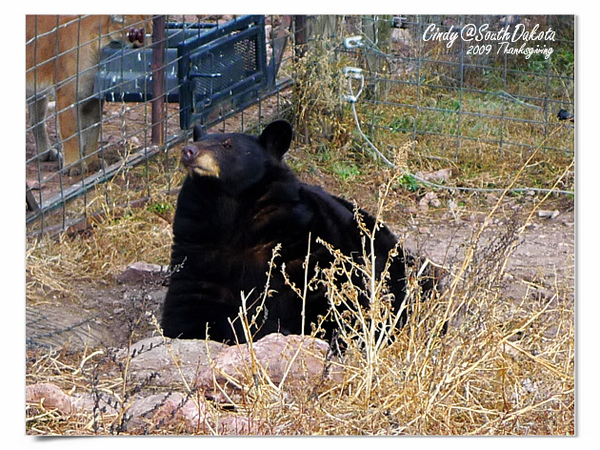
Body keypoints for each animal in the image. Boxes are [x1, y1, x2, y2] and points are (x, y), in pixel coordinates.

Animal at [162, 119, 436, 344]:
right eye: (199, 139)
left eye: (227, 145)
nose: (189, 151)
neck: (232, 211)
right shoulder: (199, 249)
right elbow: (189, 309)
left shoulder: (301, 243)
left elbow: (327, 299)